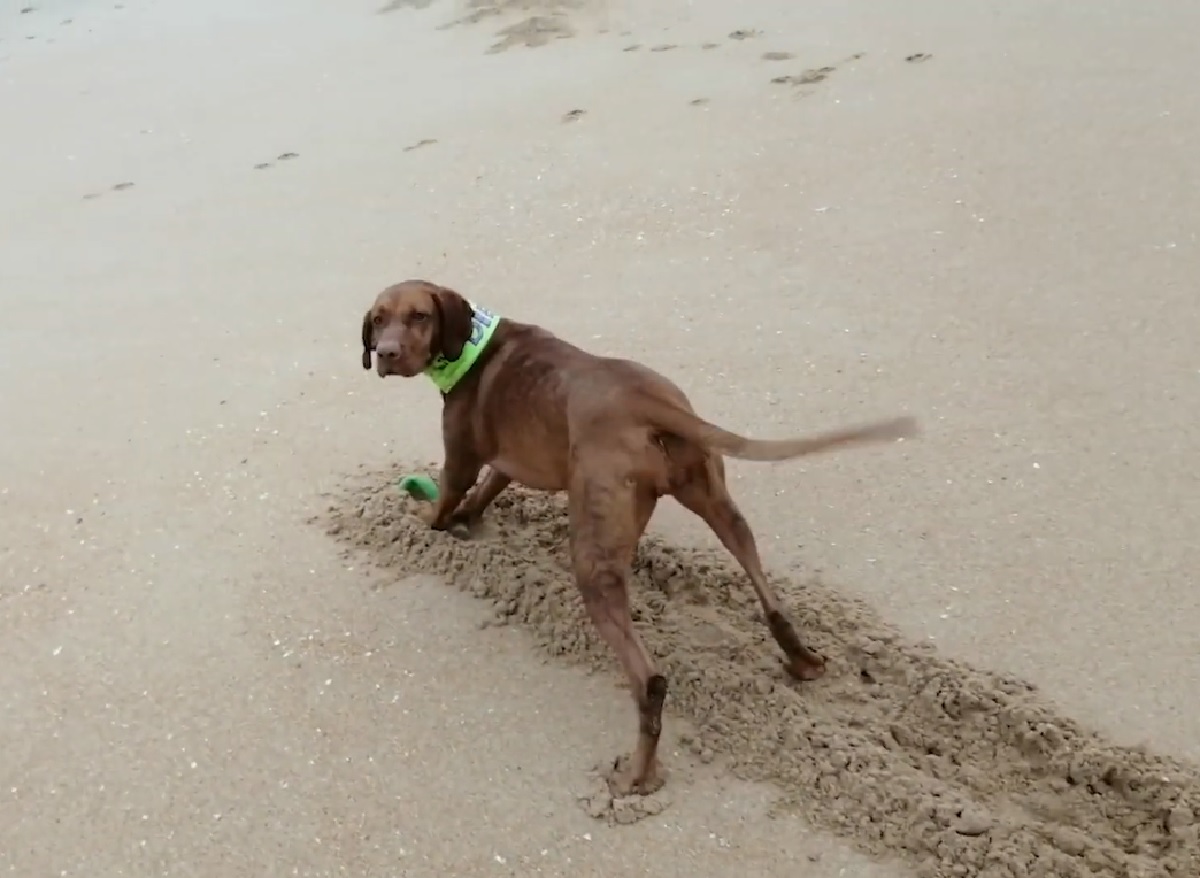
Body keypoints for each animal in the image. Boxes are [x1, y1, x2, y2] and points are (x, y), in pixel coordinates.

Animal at [360, 279, 912, 796]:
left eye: (419, 316)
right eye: (379, 319)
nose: (385, 353)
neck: (472, 346)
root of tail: (649, 402)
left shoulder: (460, 460)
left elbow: (444, 501)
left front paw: (419, 520)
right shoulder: (508, 462)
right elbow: (488, 489)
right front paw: (469, 519)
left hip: (595, 557)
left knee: (648, 681)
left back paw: (637, 776)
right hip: (713, 496)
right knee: (760, 578)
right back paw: (802, 659)